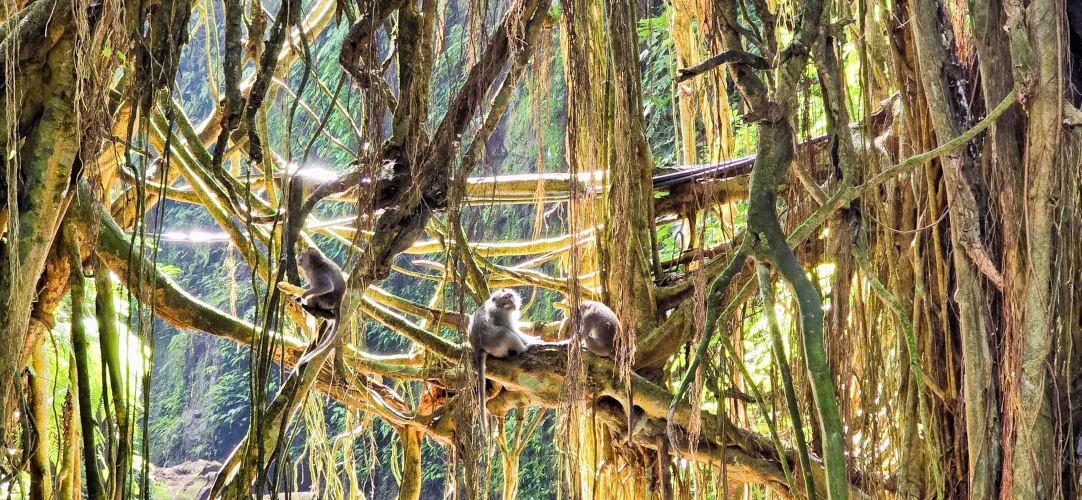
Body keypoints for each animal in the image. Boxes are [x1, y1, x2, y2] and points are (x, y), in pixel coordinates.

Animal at [467, 288, 537, 438]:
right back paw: (523, 348)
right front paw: (532, 340)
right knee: (505, 332)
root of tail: (478, 348)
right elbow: (513, 330)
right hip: (495, 342)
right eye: (506, 297)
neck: (500, 306)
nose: (512, 302)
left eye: (510, 296)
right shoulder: (502, 314)